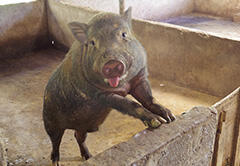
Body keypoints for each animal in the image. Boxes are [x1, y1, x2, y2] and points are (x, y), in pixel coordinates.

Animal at [42, 7, 175, 165]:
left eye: (124, 34)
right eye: (92, 42)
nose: (112, 63)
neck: (122, 85)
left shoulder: (139, 79)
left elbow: (150, 99)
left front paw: (169, 117)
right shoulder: (99, 94)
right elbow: (129, 104)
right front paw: (158, 122)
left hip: (83, 125)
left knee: (78, 136)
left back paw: (88, 156)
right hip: (50, 120)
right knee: (55, 142)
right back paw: (56, 161)